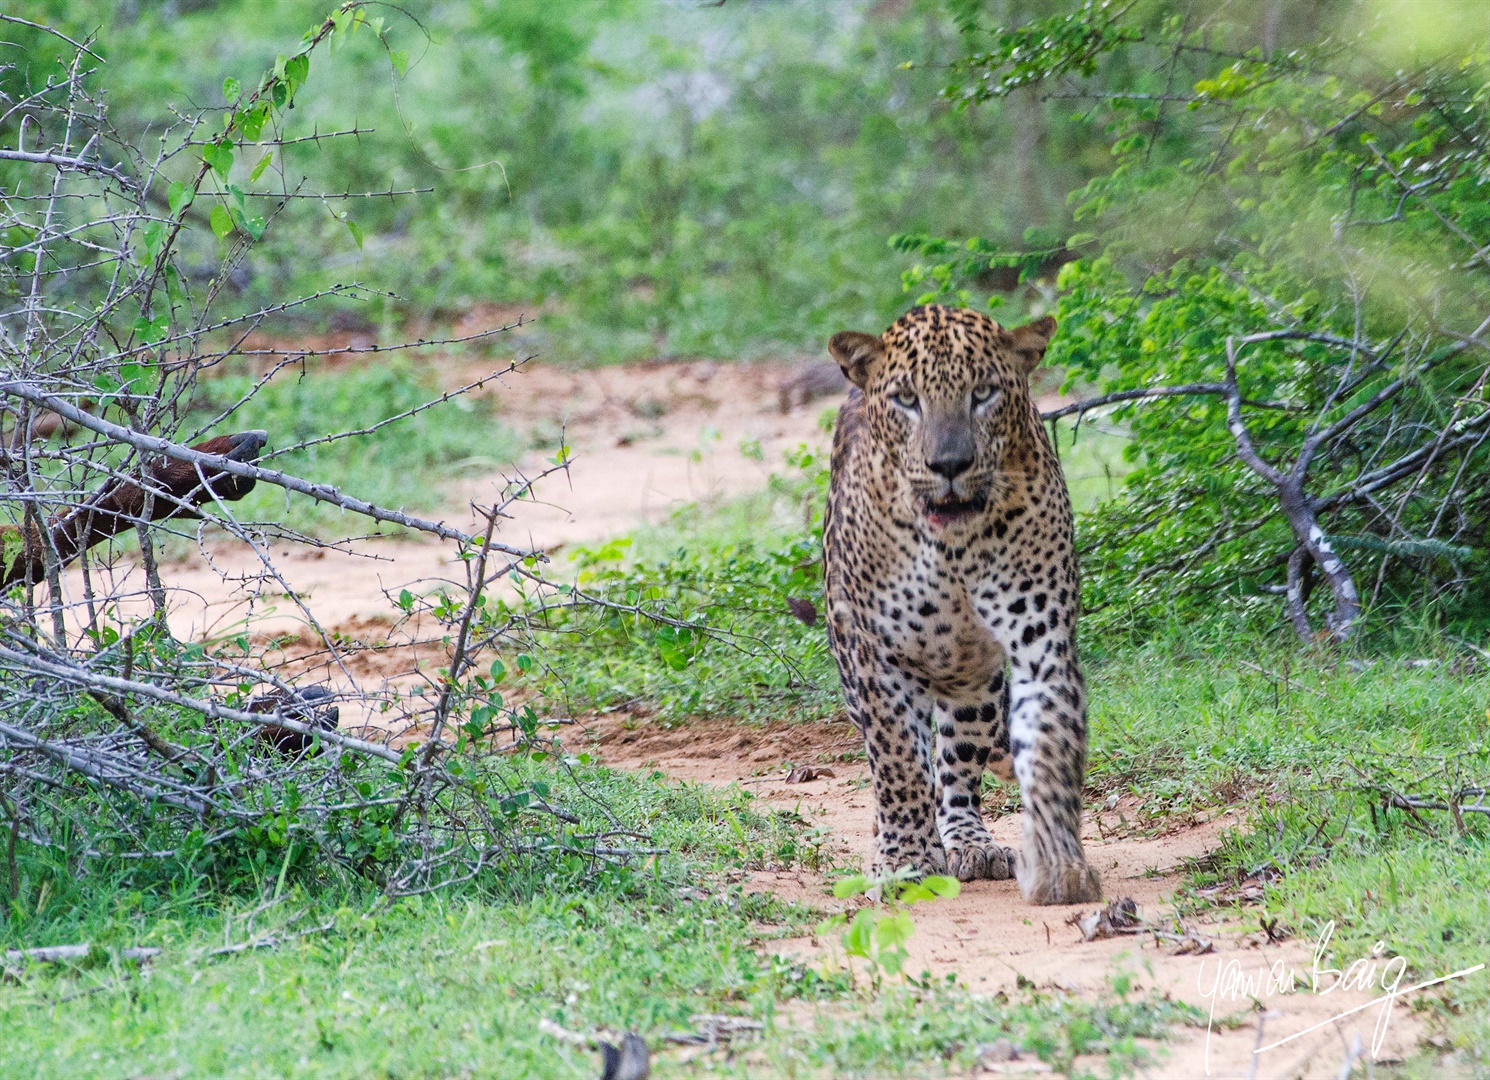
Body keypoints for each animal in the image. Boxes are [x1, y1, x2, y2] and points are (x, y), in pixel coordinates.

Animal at [822, 306, 1102, 905]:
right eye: (907, 399)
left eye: (984, 393)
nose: (949, 463)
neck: (953, 547)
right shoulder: (875, 656)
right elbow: (898, 761)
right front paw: (904, 860)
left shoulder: (1042, 643)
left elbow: (1050, 747)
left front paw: (1060, 868)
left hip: (974, 686)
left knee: (957, 768)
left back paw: (971, 843)